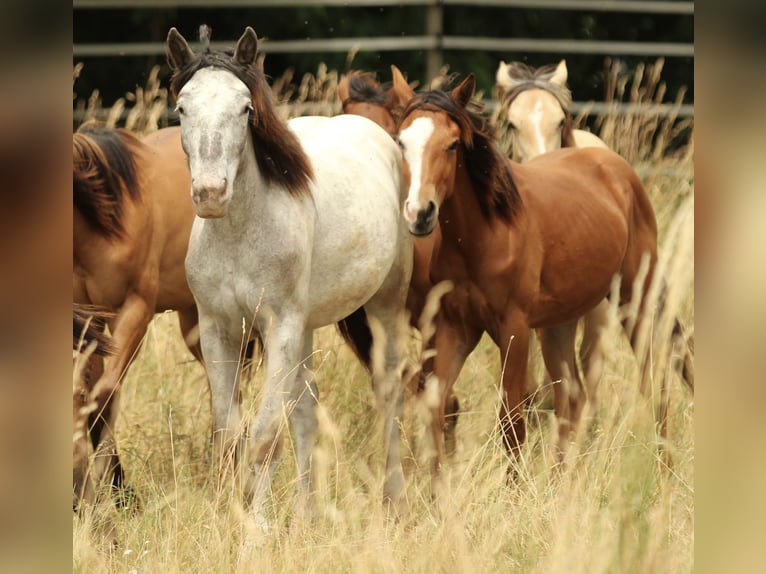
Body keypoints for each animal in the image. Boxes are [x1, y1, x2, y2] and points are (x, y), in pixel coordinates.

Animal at [73, 122, 202, 508]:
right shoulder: (89, 323)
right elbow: (88, 397)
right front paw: (111, 489)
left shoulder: (134, 311)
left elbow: (104, 394)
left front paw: (114, 490)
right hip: (192, 319)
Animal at [165, 27, 412, 531]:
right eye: (182, 107)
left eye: (246, 107)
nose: (211, 194)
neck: (239, 234)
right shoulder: (218, 328)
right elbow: (229, 433)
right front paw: (231, 516)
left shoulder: (278, 326)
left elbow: (264, 434)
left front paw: (256, 529)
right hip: (306, 328)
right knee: (306, 411)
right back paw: (306, 514)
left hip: (384, 306)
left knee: (389, 394)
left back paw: (393, 501)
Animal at [389, 66, 666, 489]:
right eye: (402, 142)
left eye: (452, 145)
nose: (420, 214)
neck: (483, 235)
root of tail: (615, 168)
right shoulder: (455, 328)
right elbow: (435, 406)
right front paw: (436, 492)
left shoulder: (514, 328)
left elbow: (512, 416)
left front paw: (513, 491)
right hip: (559, 324)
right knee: (571, 397)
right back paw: (560, 483)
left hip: (635, 299)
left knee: (654, 379)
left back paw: (665, 469)